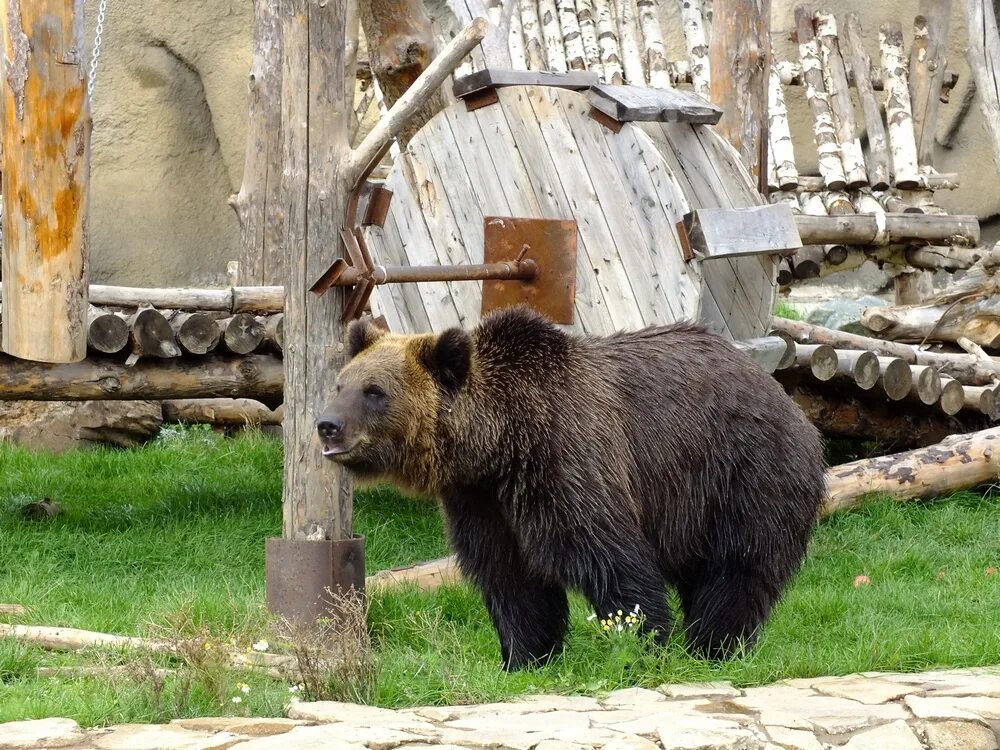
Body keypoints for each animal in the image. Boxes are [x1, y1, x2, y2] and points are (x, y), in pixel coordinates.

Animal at [320, 308, 828, 672]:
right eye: (341, 384)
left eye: (374, 391)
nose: (327, 425)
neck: (500, 446)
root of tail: (783, 395)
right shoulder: (481, 502)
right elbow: (511, 580)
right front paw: (524, 658)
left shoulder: (566, 461)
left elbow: (610, 559)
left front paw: (641, 644)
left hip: (742, 474)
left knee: (737, 569)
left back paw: (713, 647)